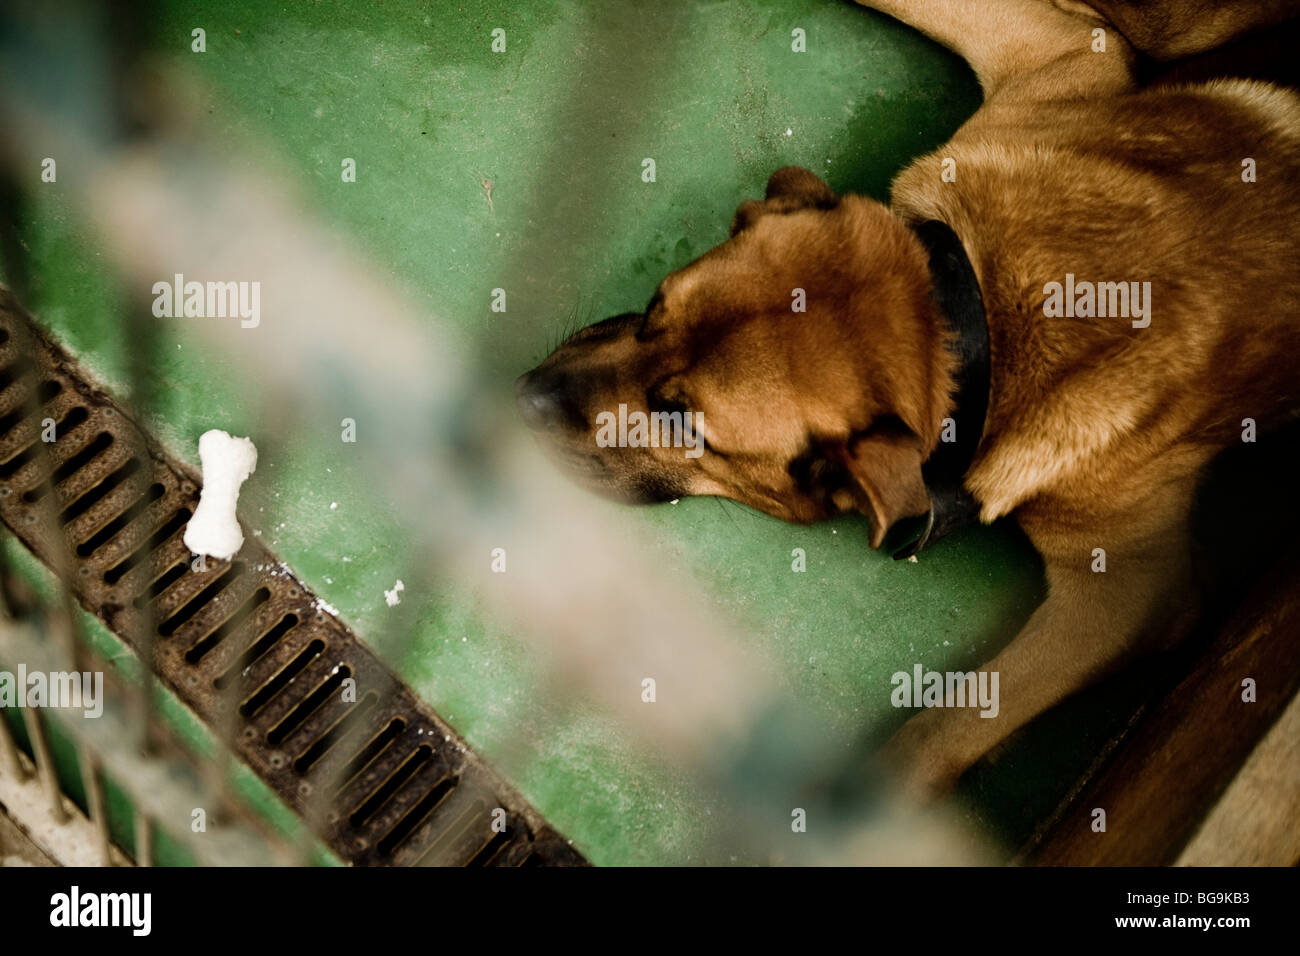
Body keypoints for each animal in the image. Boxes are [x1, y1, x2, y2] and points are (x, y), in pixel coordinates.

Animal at [512, 0, 1294, 801]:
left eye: (680, 421)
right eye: (649, 311)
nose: (524, 396)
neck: (975, 317)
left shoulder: (1129, 600)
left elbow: (941, 732)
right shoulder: (1066, 50)